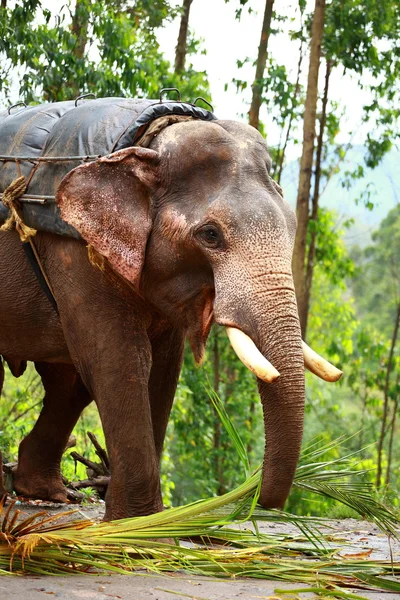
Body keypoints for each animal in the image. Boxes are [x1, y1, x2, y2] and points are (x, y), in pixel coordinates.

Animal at [0, 101, 340, 516]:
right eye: (210, 235)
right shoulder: (73, 250)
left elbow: (163, 368)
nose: (259, 496)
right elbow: (120, 360)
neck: (149, 142)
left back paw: (51, 494)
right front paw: (139, 528)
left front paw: (145, 523)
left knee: (67, 384)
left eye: (292, 228)